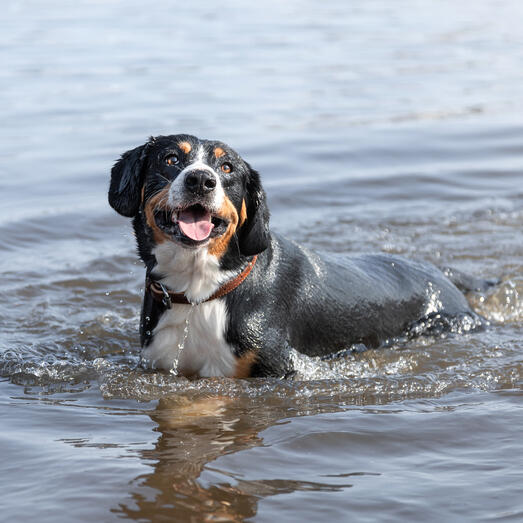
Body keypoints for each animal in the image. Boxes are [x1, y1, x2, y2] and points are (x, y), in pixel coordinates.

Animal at [108, 134, 486, 380]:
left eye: (227, 167)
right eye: (171, 159)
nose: (201, 179)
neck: (201, 292)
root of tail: (441, 273)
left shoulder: (279, 368)